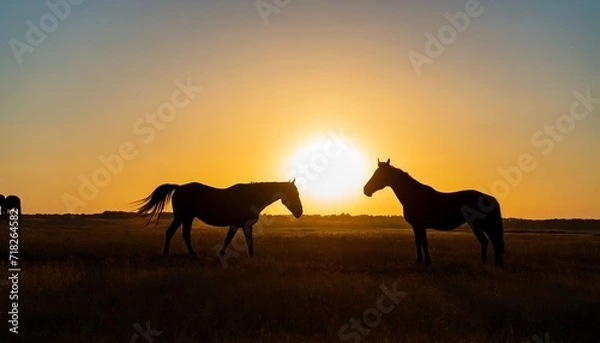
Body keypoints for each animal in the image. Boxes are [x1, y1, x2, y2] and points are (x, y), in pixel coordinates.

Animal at [137, 181, 304, 256]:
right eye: (293, 193)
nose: (299, 212)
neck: (251, 197)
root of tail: (178, 188)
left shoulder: (240, 225)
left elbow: (238, 239)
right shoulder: (241, 224)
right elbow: (235, 239)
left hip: (186, 218)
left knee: (180, 234)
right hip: (183, 217)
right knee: (174, 233)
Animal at [364, 159, 504, 268]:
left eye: (379, 174)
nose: (366, 190)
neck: (413, 195)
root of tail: (490, 198)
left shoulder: (420, 225)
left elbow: (423, 242)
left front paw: (426, 261)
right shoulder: (416, 226)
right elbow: (418, 242)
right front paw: (419, 261)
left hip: (479, 225)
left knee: (486, 241)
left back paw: (484, 264)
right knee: (494, 242)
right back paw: (496, 264)